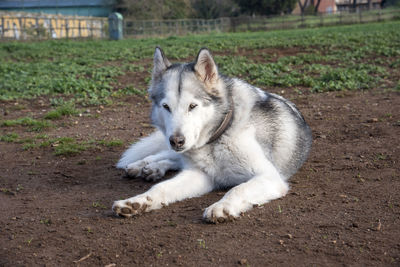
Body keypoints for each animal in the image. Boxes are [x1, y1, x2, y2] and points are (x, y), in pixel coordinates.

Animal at [112, 47, 312, 223]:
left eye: (192, 106)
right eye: (166, 107)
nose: (177, 141)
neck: (218, 138)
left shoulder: (269, 177)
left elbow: (238, 189)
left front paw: (222, 207)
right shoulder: (200, 175)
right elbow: (161, 188)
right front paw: (137, 202)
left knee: (172, 159)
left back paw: (153, 168)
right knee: (166, 155)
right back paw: (142, 166)